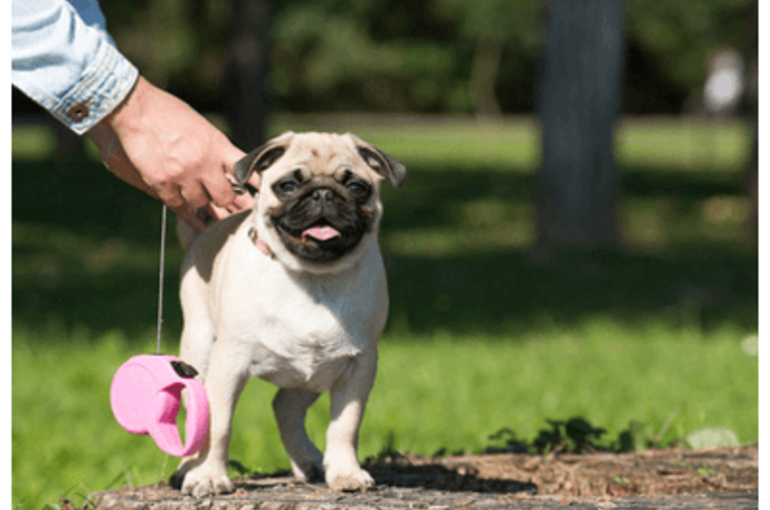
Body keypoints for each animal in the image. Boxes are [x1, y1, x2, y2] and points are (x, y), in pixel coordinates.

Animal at [170, 132, 404, 498]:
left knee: (285, 408)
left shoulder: (358, 366)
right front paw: (208, 476)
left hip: (314, 373)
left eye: (356, 187)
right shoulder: (229, 363)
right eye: (288, 186)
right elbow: (218, 425)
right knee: (199, 415)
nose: (323, 193)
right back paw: (187, 469)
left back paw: (309, 460)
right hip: (200, 352)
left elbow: (345, 427)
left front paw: (346, 472)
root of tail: (203, 235)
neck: (312, 279)